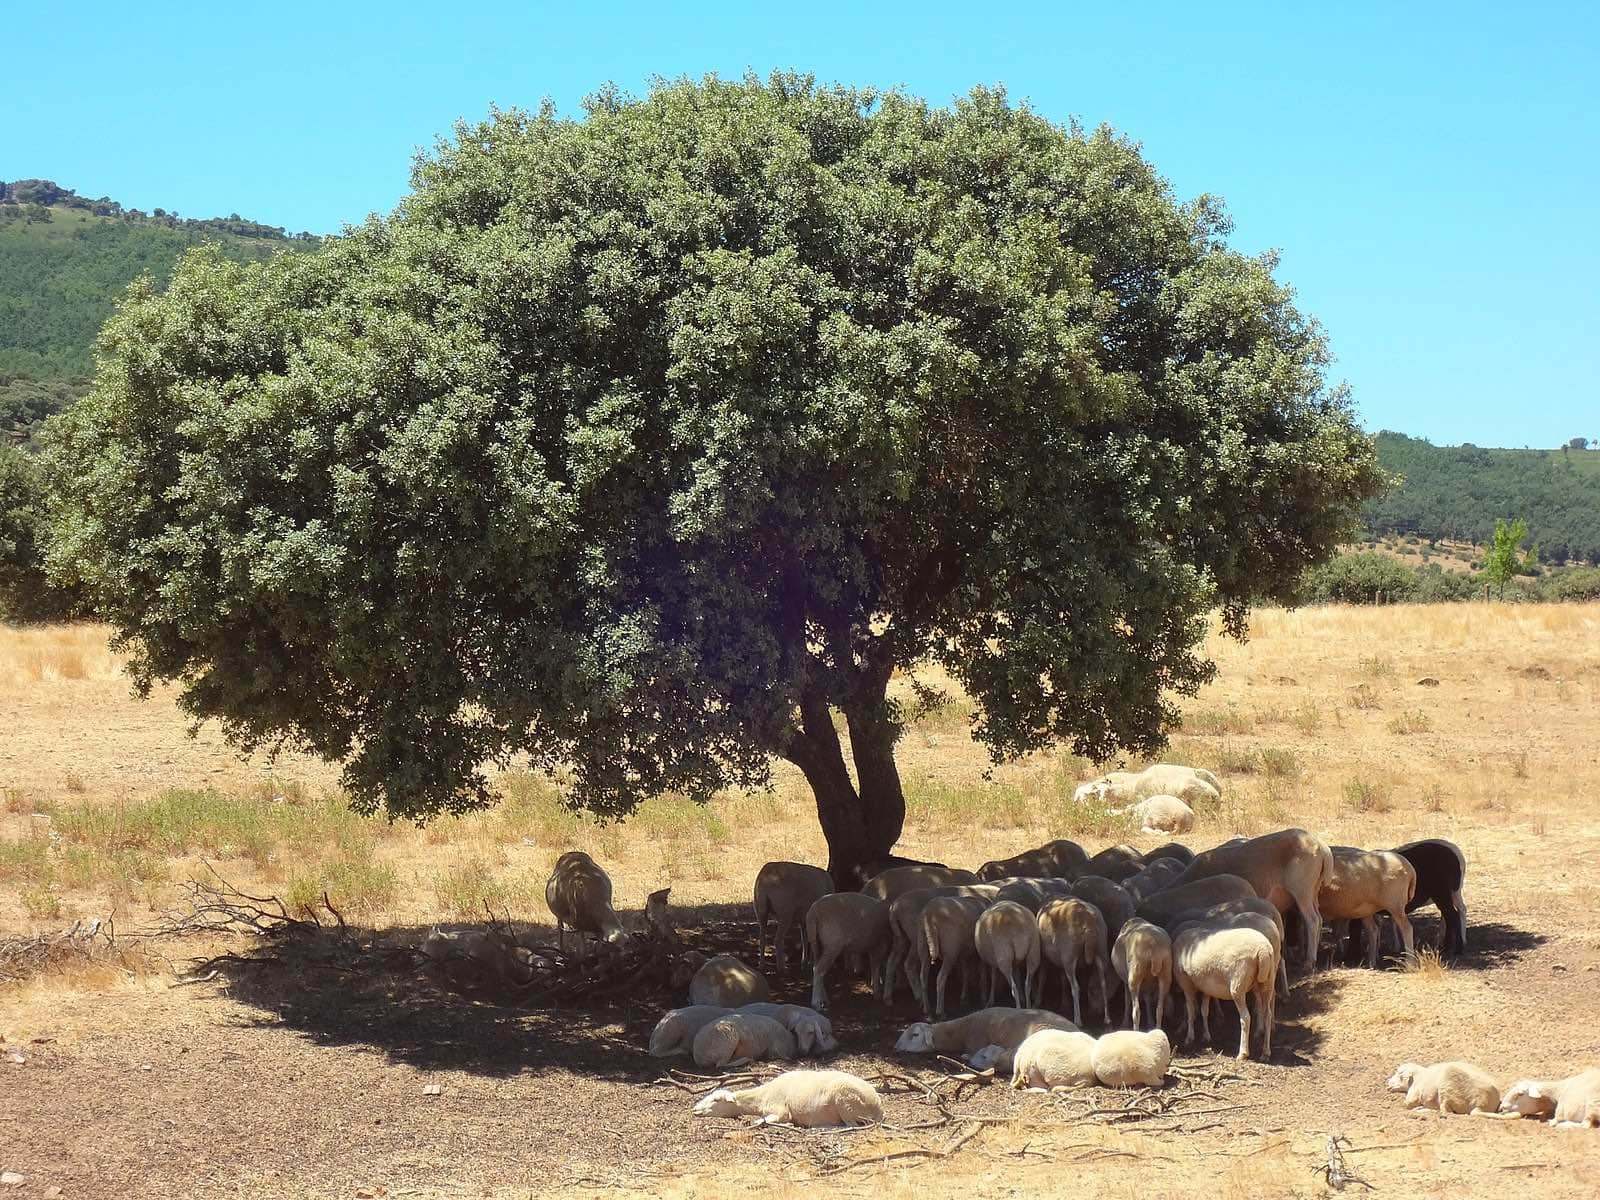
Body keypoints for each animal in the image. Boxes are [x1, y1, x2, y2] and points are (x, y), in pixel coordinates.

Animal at [692, 1069, 884, 1128]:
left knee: (850, 1126)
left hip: (845, 1102)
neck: (762, 1096)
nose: (694, 1109)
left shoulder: (781, 1112)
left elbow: (763, 1120)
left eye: (716, 1100)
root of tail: (878, 1107)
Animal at [1036, 897, 1110, 1026]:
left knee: (1075, 987)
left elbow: (1042, 977)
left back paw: (1078, 1020)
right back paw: (1107, 1018)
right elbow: (1063, 979)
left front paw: (1038, 1000)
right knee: (1103, 983)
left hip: (1069, 954)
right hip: (1101, 950)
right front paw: (1064, 1004)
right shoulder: (1060, 959)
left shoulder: (1045, 956)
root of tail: (1088, 922)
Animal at [1173, 829, 1333, 968]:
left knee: (1312, 920)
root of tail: (1321, 846)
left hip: (1302, 889)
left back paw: (1309, 961)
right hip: (1313, 890)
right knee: (1318, 918)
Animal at [1173, 923, 1277, 1060]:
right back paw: (1265, 1052)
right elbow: (1204, 1011)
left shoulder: (1186, 983)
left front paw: (1189, 1038)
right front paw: (1206, 1036)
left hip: (1238, 985)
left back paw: (1243, 1053)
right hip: (1267, 982)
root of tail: (1263, 950)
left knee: (1246, 1017)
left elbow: (1191, 1011)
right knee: (1267, 1015)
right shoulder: (1206, 987)